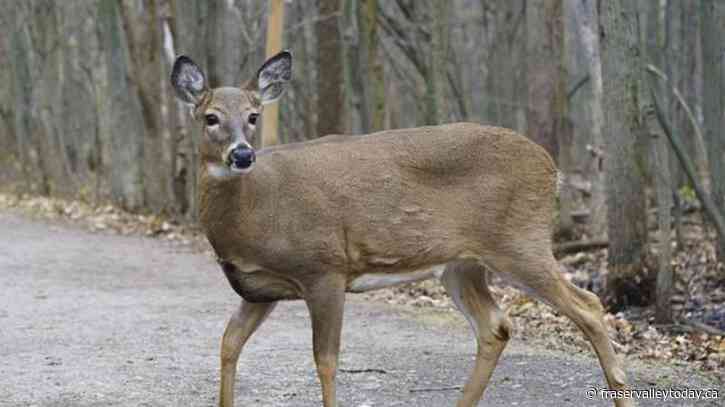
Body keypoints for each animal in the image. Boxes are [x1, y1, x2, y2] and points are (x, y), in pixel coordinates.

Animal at [170, 51, 634, 407]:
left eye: (253, 116)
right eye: (210, 117)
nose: (242, 155)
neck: (256, 212)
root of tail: (552, 167)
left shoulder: (324, 268)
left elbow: (326, 361)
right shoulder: (262, 288)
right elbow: (228, 343)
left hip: (519, 240)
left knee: (589, 305)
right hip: (461, 265)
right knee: (496, 326)